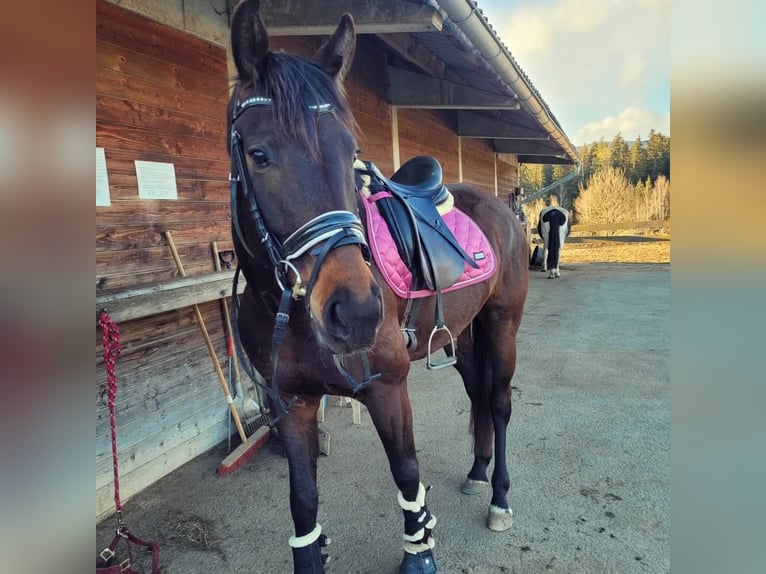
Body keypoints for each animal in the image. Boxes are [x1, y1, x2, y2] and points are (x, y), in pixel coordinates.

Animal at [225, 2, 532, 572]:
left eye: (351, 152)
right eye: (258, 153)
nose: (355, 312)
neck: (288, 311)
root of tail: (501, 206)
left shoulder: (388, 389)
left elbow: (407, 473)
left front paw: (420, 550)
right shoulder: (291, 404)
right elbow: (303, 500)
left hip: (503, 324)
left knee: (499, 403)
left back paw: (499, 496)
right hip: (466, 333)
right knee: (479, 394)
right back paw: (477, 471)